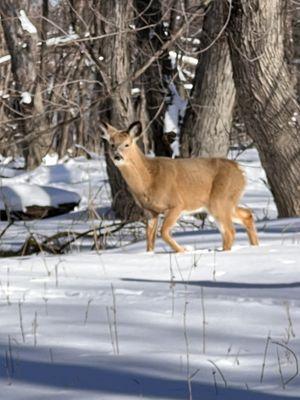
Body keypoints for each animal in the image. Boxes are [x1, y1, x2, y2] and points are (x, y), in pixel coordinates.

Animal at [99, 120, 258, 252]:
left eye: (127, 144)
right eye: (112, 144)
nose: (117, 156)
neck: (149, 180)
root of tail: (240, 171)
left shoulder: (177, 204)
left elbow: (163, 232)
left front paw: (182, 251)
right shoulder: (150, 211)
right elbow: (150, 241)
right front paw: (151, 255)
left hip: (220, 199)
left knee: (230, 231)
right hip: (222, 203)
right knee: (246, 215)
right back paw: (254, 246)